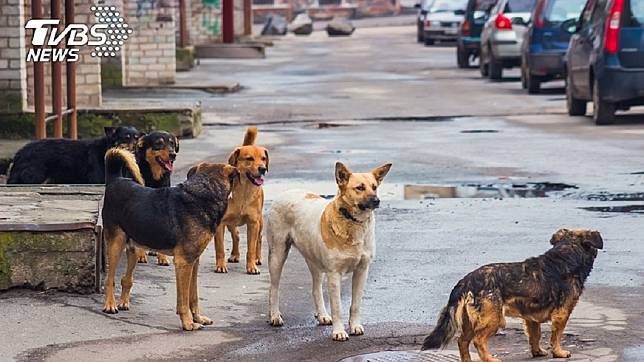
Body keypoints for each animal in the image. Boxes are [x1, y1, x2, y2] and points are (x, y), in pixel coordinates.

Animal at [7, 126, 140, 184]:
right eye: (126, 137)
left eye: (137, 138)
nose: (136, 147)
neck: (107, 148)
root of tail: (20, 153)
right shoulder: (97, 180)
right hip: (34, 177)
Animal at [102, 147, 238, 330]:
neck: (204, 192)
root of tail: (115, 180)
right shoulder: (183, 263)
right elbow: (183, 300)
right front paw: (188, 323)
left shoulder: (193, 262)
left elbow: (193, 296)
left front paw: (198, 318)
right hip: (115, 244)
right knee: (109, 279)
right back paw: (110, 305)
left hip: (134, 248)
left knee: (126, 278)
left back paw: (123, 302)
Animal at [132, 131, 180, 266]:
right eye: (158, 143)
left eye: (172, 143)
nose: (173, 155)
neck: (154, 178)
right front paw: (141, 255)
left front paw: (162, 257)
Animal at [422, 229, 604, 362]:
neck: (566, 255)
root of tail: (466, 281)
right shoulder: (562, 314)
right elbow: (556, 336)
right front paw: (559, 352)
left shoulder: (530, 317)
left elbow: (535, 336)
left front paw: (537, 352)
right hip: (494, 319)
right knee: (478, 340)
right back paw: (490, 359)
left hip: (469, 321)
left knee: (462, 341)